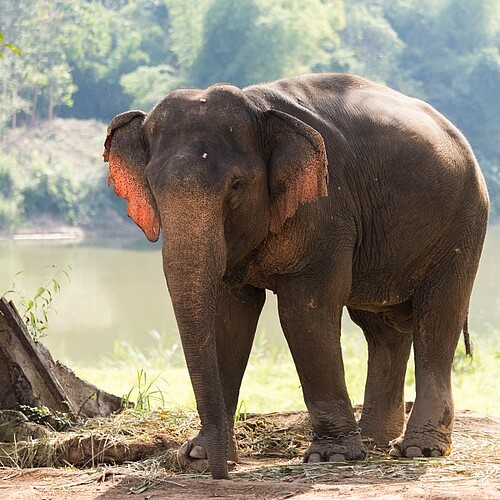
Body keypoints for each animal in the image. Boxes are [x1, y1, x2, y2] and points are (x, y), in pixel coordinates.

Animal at [103, 72, 490, 478]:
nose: (221, 474)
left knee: (438, 316)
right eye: (152, 186)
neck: (257, 106)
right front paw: (200, 455)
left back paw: (418, 449)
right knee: (381, 329)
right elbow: (229, 320)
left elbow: (304, 313)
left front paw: (332, 457)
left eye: (236, 185)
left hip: (463, 225)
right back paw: (375, 443)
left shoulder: (327, 211)